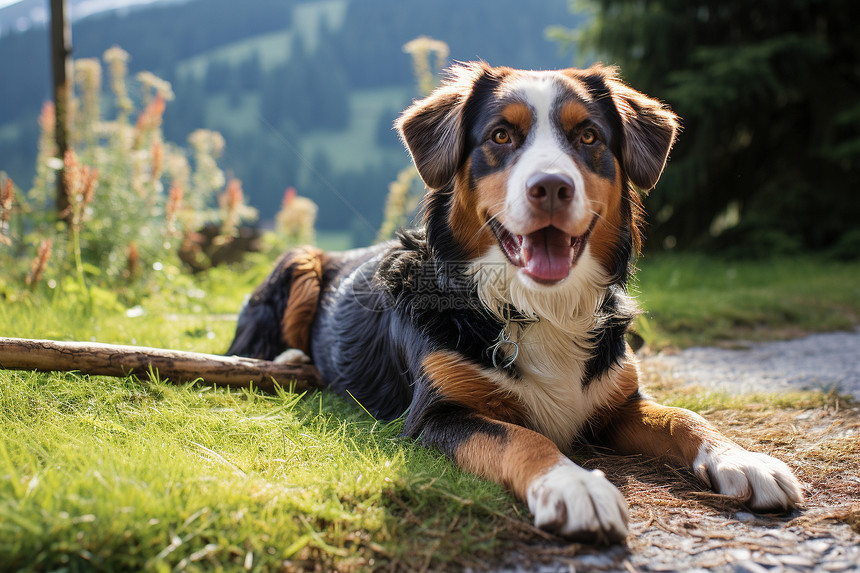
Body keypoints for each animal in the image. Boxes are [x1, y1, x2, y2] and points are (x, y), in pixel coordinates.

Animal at [227, 65, 800, 544]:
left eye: (587, 136)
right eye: (501, 136)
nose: (551, 187)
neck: (542, 307)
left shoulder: (618, 403)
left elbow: (684, 416)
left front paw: (742, 459)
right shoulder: (438, 414)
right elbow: (522, 439)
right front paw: (574, 486)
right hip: (299, 259)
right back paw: (291, 360)